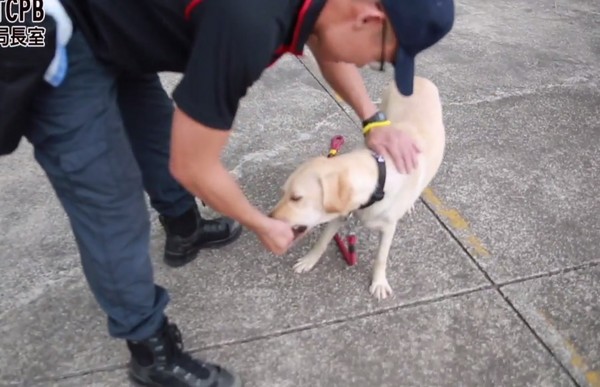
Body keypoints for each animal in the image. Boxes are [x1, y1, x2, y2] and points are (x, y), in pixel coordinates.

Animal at [268, 76, 446, 300]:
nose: (268, 218)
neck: (378, 177)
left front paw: (379, 282)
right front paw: (309, 260)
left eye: (296, 198)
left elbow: (381, 257)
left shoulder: (388, 228)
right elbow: (322, 240)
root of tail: (419, 79)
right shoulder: (339, 215)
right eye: (284, 193)